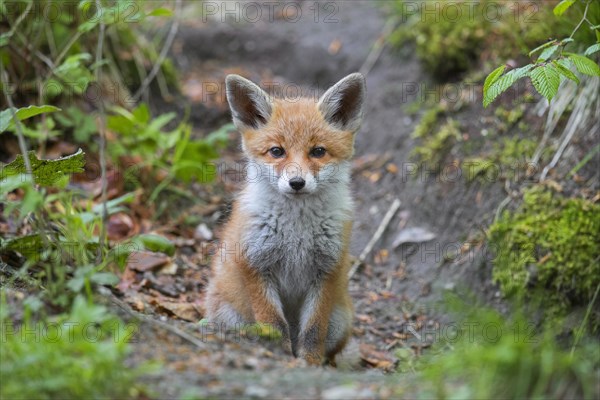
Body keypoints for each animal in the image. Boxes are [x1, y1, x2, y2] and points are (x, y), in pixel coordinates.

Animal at [205, 72, 366, 366]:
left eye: (318, 151)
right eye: (277, 151)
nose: (297, 183)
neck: (296, 231)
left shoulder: (327, 269)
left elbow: (313, 329)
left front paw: (310, 362)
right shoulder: (255, 263)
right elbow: (273, 322)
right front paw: (277, 355)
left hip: (341, 320)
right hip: (226, 314)